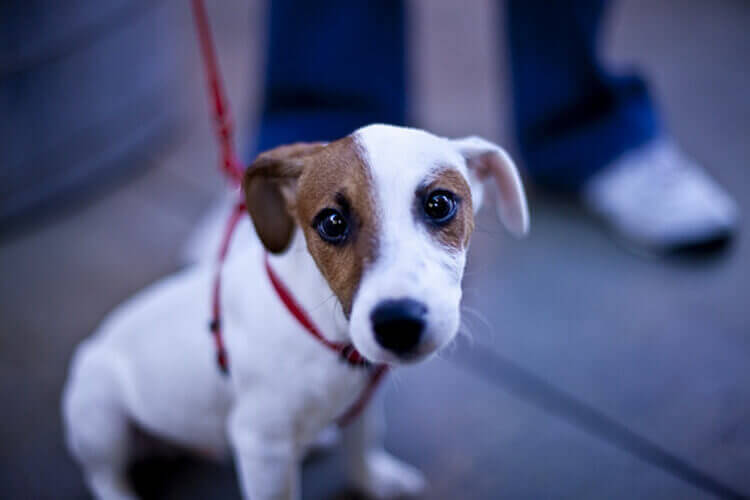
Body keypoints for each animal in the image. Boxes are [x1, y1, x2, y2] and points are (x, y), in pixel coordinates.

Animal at [62, 124, 529, 500]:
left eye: (439, 204)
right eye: (332, 222)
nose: (398, 323)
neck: (328, 335)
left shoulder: (360, 398)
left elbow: (364, 437)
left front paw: (371, 479)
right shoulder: (261, 447)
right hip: (100, 413)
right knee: (104, 475)